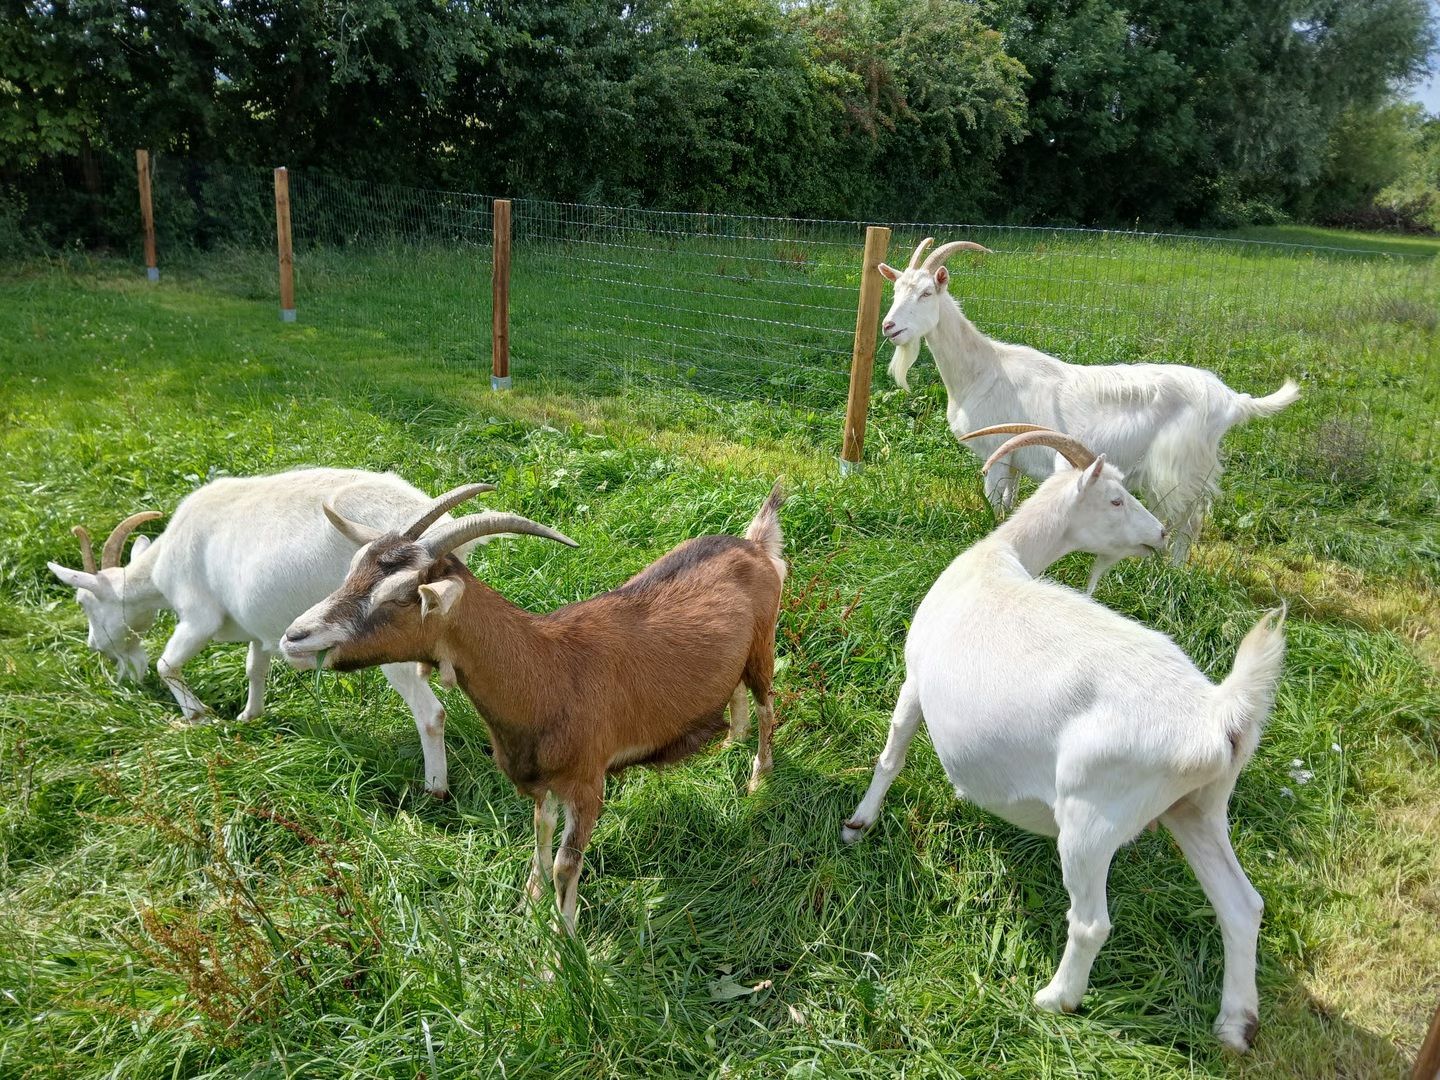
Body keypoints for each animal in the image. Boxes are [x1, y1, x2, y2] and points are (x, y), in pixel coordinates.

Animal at [47, 468, 495, 797]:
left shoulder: (197, 615)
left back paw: (434, 790)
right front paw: (249, 716)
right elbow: (254, 667)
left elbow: (166, 664)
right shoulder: (257, 628)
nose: (94, 646)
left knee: (431, 713)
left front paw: (198, 717)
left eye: (84, 603)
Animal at [280, 484, 788, 932]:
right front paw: (530, 903)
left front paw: (562, 950)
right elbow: (541, 835)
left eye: (401, 597)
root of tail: (754, 545)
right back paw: (731, 741)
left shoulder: (588, 783)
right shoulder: (542, 782)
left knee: (767, 705)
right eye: (352, 570)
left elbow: (566, 864)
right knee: (736, 694)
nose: (294, 637)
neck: (548, 671)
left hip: (762, 646)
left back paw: (757, 778)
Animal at [841, 425, 1285, 1053]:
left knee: (1092, 921)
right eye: (1117, 500)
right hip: (1197, 808)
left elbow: (892, 752)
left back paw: (1055, 999)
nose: (1158, 535)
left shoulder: (914, 678)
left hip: (1090, 819)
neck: (997, 560)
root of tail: (1220, 717)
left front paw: (859, 823)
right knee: (1242, 906)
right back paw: (1234, 1024)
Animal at [880, 237, 1299, 585]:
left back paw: (1169, 576)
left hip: (1180, 468)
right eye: (896, 289)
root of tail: (1231, 399)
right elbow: (1010, 504)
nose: (889, 326)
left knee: (1187, 522)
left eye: (927, 292)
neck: (985, 369)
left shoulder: (996, 453)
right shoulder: (1014, 458)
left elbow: (995, 505)